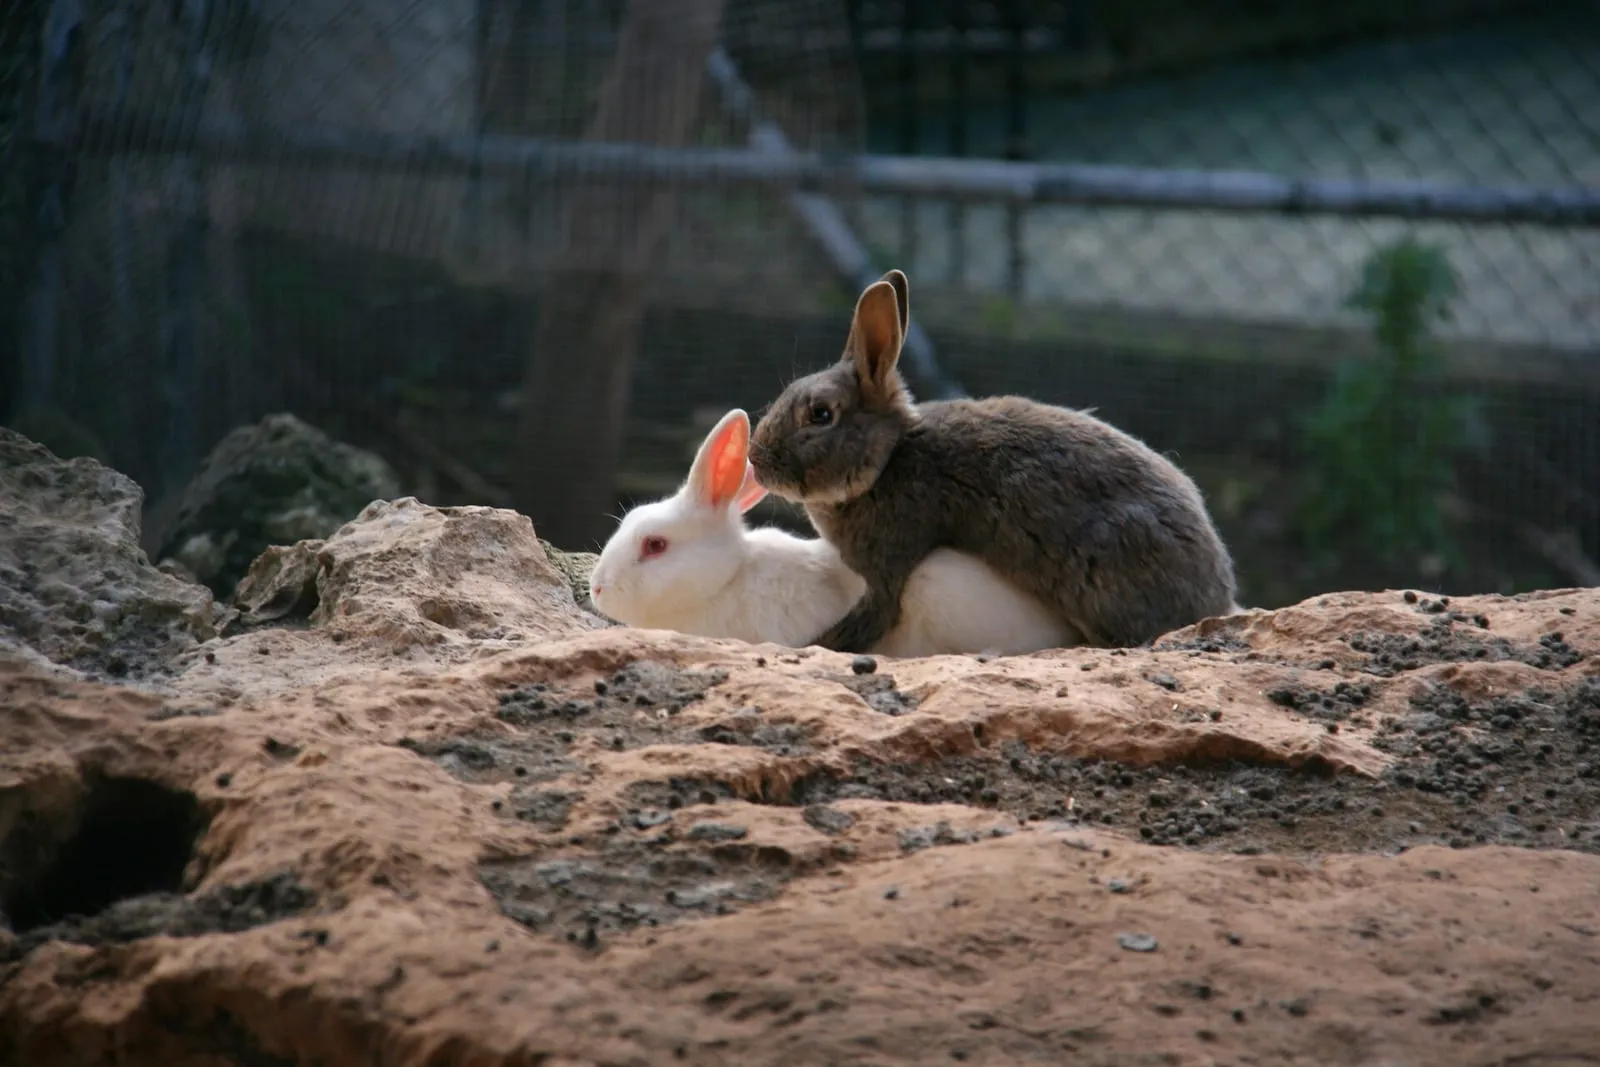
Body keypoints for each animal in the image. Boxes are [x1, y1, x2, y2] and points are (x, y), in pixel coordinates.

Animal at [746, 268, 1239, 653]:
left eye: (820, 414)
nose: (755, 458)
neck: (887, 461)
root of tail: (1217, 595)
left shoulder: (890, 560)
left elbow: (869, 619)